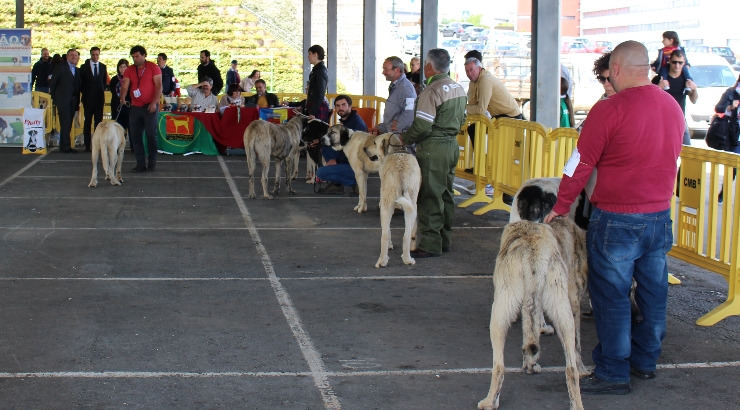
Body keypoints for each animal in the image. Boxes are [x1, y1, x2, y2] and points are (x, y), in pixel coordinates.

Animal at [364, 133, 422, 268]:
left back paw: (382, 261)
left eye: (374, 142)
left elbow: (388, 231)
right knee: (406, 236)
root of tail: (402, 173)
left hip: (386, 206)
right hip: (412, 206)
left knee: (384, 235)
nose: (364, 149)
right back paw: (407, 259)